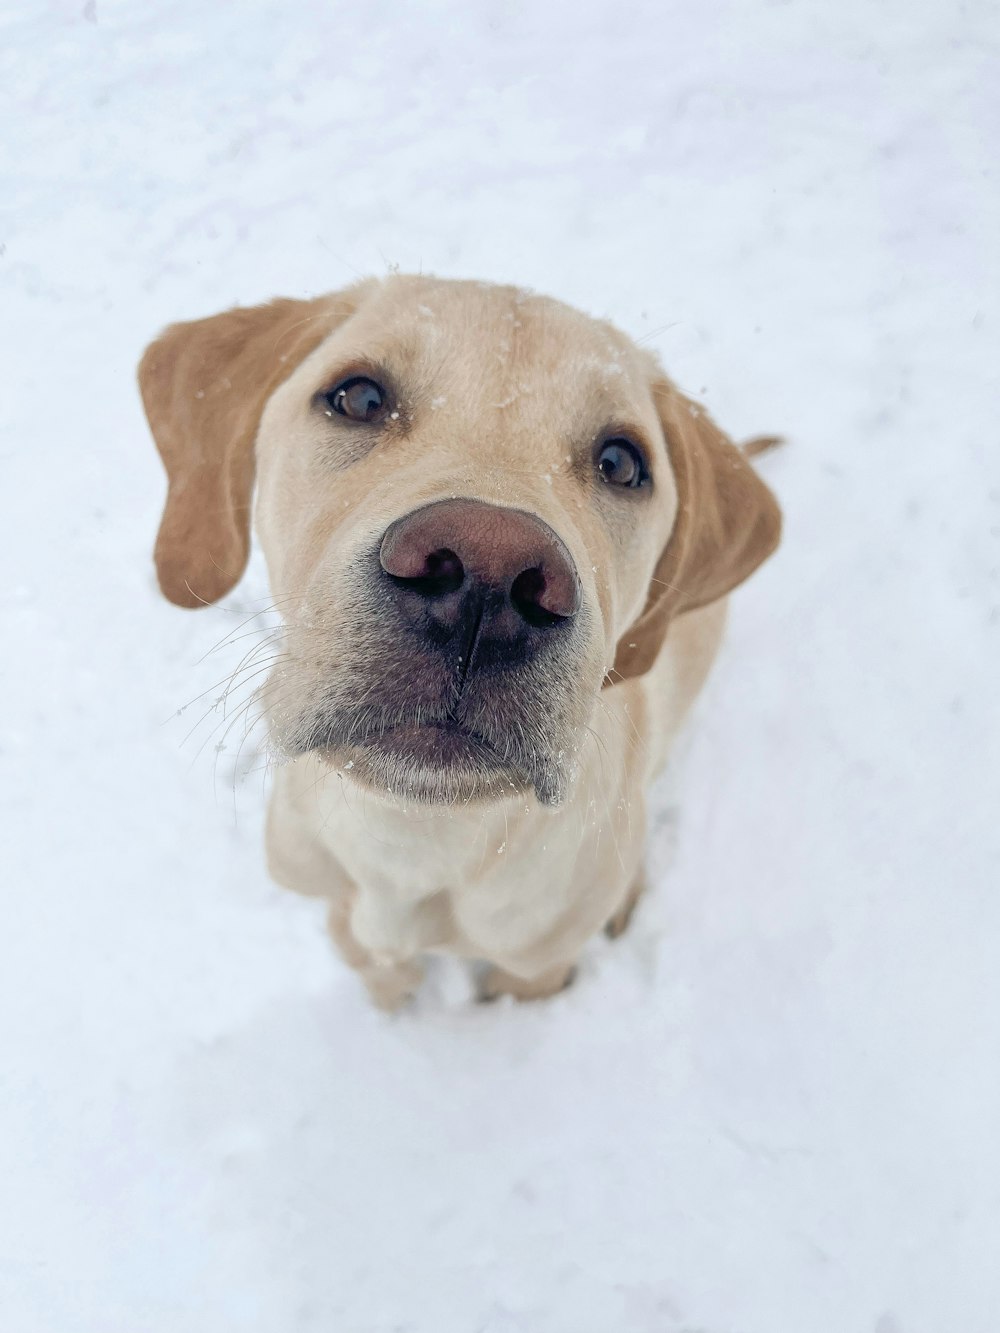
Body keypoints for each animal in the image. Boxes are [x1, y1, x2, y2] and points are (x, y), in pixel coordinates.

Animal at [141, 275, 784, 1002]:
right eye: (359, 398)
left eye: (621, 463)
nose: (488, 572)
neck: (414, 839)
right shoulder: (348, 928)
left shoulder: (533, 974)